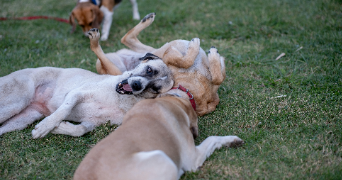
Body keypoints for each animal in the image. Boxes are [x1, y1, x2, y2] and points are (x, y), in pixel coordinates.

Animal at [0, 49, 171, 138]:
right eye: (149, 70)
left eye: (155, 88)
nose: (136, 85)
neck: (121, 100)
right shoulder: (77, 93)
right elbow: (64, 109)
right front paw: (45, 127)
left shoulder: (91, 122)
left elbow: (79, 130)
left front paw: (57, 128)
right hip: (16, 103)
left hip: (24, 118)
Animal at [89, 13, 226, 116]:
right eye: (149, 70)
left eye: (154, 89)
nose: (137, 85)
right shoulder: (168, 55)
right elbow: (186, 61)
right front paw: (198, 48)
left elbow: (218, 78)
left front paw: (217, 58)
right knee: (123, 40)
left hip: (149, 50)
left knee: (127, 39)